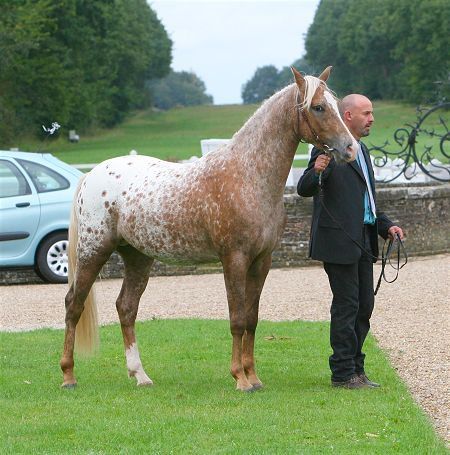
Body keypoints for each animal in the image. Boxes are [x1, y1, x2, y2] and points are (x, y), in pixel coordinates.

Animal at [60, 67, 358, 392]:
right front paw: (240, 378)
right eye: (318, 107)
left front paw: (254, 377)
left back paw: (140, 375)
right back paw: (68, 375)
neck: (247, 175)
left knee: (126, 308)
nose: (350, 148)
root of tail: (91, 175)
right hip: (94, 251)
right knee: (74, 305)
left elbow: (252, 319)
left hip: (138, 257)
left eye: (336, 105)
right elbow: (237, 319)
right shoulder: (234, 259)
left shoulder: (262, 261)